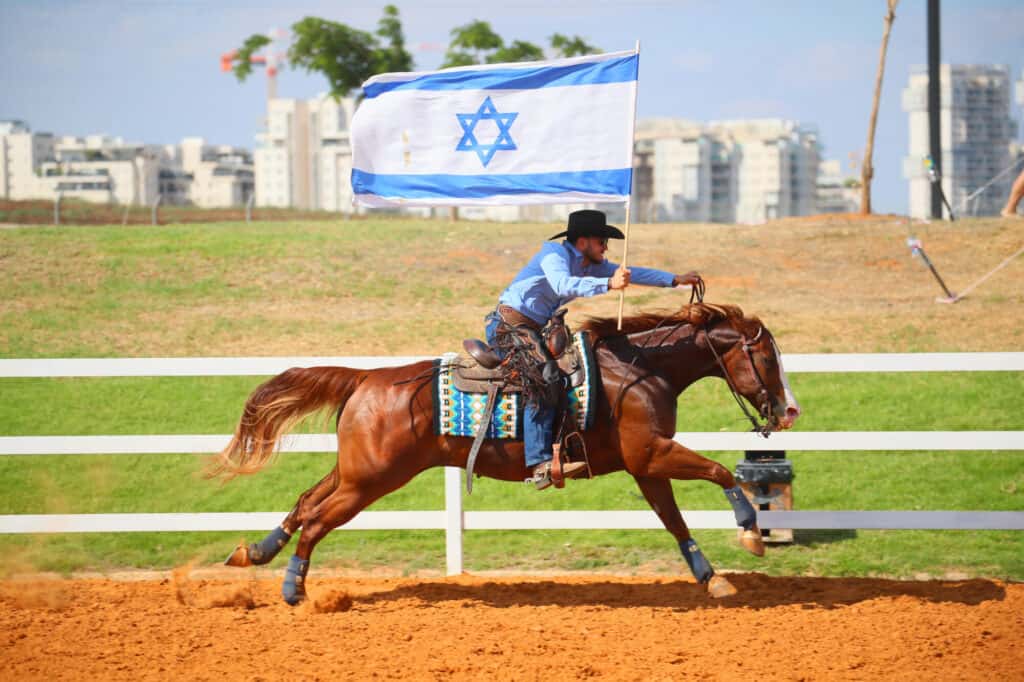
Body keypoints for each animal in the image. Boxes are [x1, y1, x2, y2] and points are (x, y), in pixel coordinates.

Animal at [216, 301, 798, 602]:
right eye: (768, 356)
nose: (789, 410)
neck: (635, 369)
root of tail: (365, 379)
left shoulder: (645, 464)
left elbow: (675, 521)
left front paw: (712, 577)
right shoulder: (653, 453)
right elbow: (721, 471)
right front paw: (750, 534)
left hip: (355, 472)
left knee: (304, 502)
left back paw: (255, 553)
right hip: (371, 481)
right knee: (317, 519)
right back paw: (292, 587)